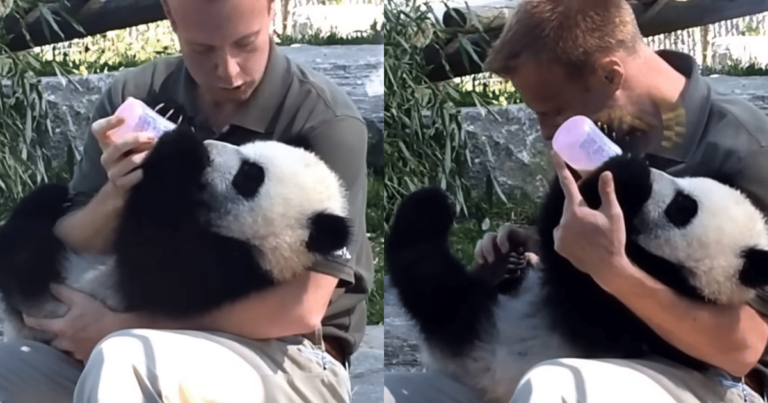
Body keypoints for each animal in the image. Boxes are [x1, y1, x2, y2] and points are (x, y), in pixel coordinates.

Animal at [388, 155, 768, 403]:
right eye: (686, 192)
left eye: (683, 206)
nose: (657, 173)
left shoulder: (635, 316)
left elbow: (572, 258)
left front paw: (620, 176)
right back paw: (503, 265)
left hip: (477, 329)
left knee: (430, 283)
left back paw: (430, 207)